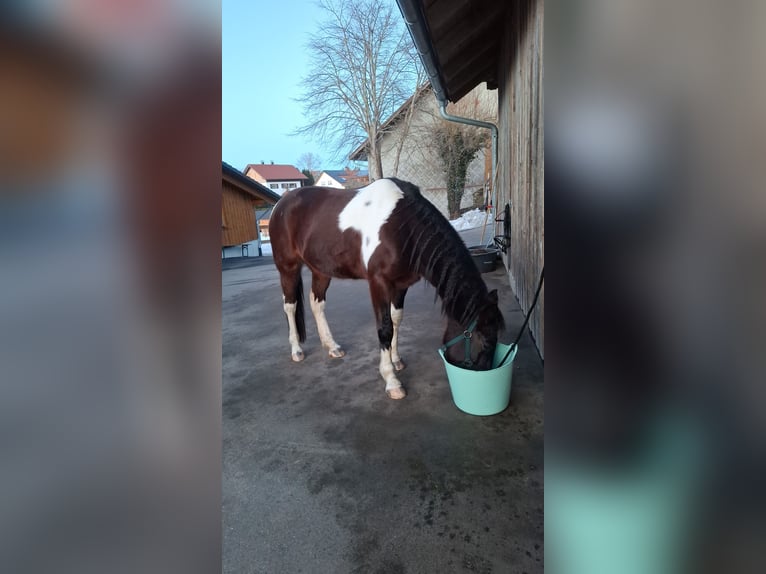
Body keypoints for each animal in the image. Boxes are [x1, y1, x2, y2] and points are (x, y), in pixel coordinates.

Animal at [269, 177, 505, 399]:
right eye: (485, 340)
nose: (487, 377)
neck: (402, 227)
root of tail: (282, 202)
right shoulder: (378, 283)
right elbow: (385, 328)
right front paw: (392, 381)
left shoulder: (400, 285)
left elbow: (396, 320)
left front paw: (396, 359)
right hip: (288, 267)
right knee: (290, 306)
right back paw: (297, 350)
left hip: (321, 270)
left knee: (316, 303)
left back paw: (332, 346)